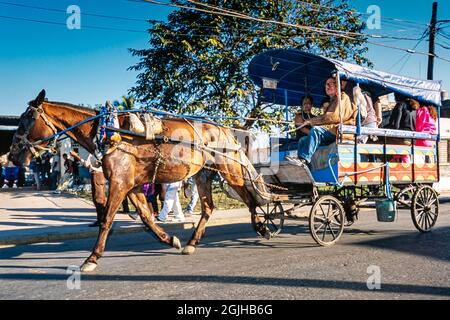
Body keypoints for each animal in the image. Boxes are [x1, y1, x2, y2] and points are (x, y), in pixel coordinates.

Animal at [8, 90, 272, 272]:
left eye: (27, 118)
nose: (12, 154)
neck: (107, 131)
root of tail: (225, 129)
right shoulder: (132, 185)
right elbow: (146, 218)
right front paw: (171, 240)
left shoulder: (119, 183)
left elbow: (107, 220)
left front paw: (92, 258)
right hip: (203, 174)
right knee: (208, 207)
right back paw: (192, 242)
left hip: (229, 168)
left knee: (248, 196)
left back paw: (262, 225)